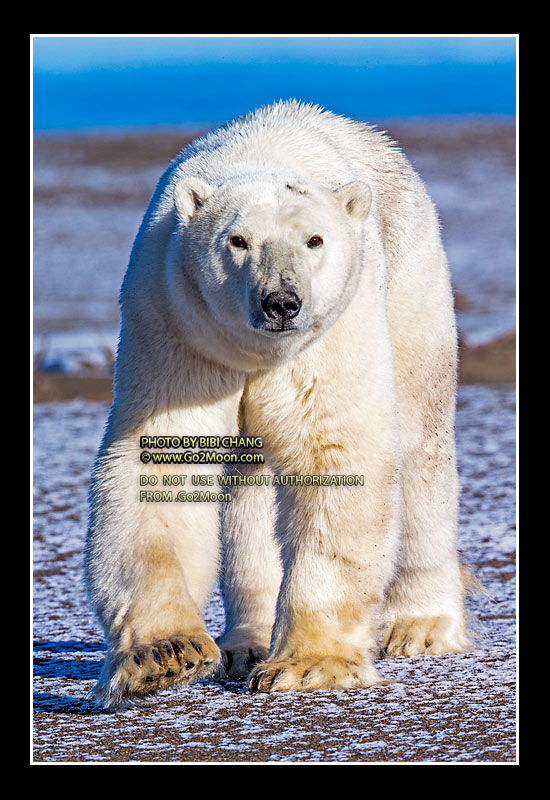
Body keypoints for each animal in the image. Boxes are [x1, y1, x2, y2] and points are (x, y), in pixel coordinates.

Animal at [85, 100, 469, 710]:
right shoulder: (175, 322)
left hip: (412, 284)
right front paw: (165, 655)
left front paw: (307, 665)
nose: (281, 302)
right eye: (237, 240)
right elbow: (161, 461)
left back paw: (419, 625)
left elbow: (333, 457)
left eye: (314, 240)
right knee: (252, 493)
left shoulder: (332, 334)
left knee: (419, 446)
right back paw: (245, 644)